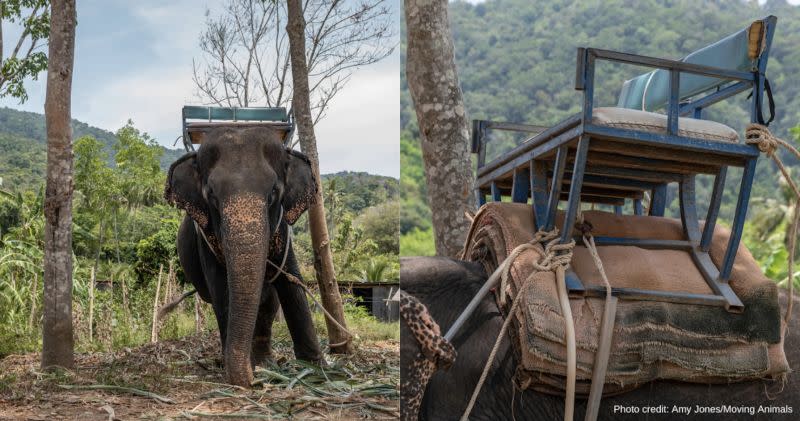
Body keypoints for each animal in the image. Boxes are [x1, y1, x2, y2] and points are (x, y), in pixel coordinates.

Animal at [165, 126, 322, 386]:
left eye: (273, 193)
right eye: (212, 195)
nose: (251, 381)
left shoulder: (282, 232)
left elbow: (291, 283)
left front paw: (317, 369)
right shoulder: (204, 240)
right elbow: (222, 291)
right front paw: (236, 371)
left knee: (268, 305)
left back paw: (266, 363)